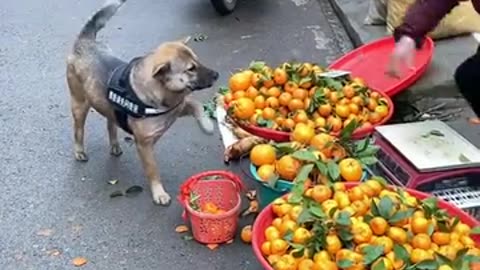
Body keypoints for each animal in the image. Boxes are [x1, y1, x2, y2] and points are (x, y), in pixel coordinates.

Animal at [66, 0, 219, 205]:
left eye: (197, 61)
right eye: (191, 69)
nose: (216, 75)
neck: (162, 91)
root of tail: (85, 41)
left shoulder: (179, 108)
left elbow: (196, 105)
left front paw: (206, 125)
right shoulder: (144, 146)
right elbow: (153, 171)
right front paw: (158, 193)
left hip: (107, 105)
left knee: (111, 124)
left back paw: (114, 145)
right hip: (80, 104)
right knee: (78, 130)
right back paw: (79, 151)